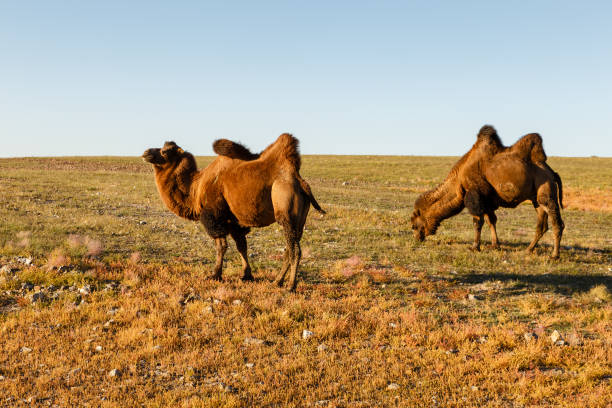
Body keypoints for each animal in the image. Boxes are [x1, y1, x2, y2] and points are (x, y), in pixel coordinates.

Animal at [143, 134, 326, 290]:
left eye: (165, 151)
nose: (146, 152)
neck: (196, 187)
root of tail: (300, 181)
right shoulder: (234, 221)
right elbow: (241, 246)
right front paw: (246, 275)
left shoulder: (214, 216)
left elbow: (221, 246)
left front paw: (215, 275)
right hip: (299, 220)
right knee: (290, 248)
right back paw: (277, 281)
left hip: (286, 210)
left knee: (295, 250)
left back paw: (290, 286)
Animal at [412, 124, 564, 258]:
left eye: (414, 225)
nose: (417, 238)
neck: (459, 180)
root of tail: (551, 173)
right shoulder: (486, 199)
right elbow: (491, 220)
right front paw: (495, 245)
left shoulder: (474, 194)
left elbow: (477, 222)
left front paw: (474, 247)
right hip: (535, 199)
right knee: (542, 224)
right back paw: (528, 250)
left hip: (546, 192)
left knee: (557, 223)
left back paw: (554, 255)